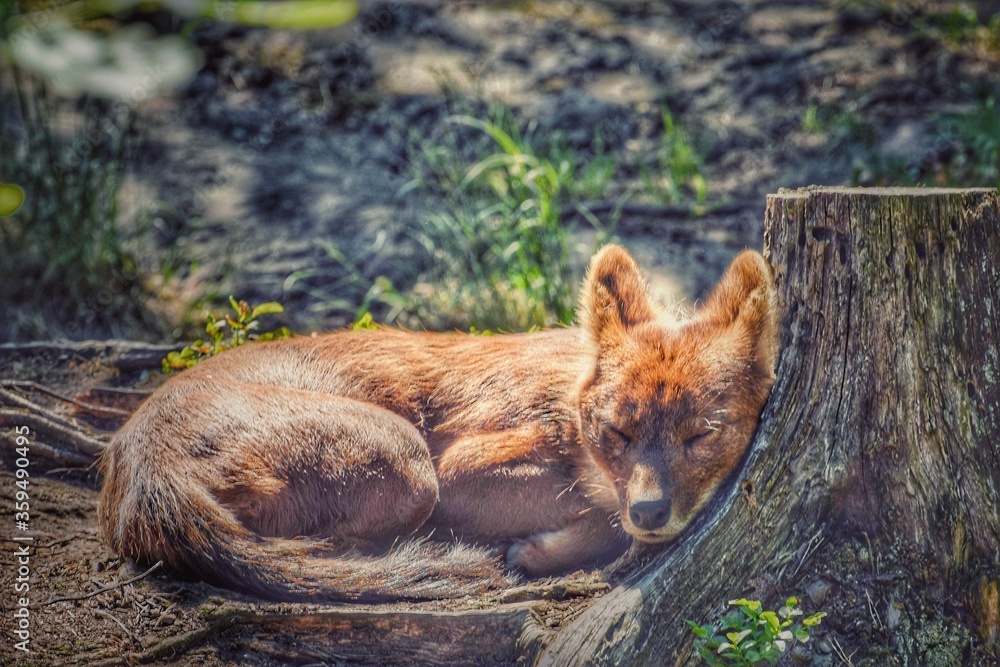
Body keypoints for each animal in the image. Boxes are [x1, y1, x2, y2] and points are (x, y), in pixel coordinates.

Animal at [98, 244, 778, 603]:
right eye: (617, 432)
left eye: (700, 435)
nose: (651, 510)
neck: (563, 401)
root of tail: (144, 460)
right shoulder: (457, 468)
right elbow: (595, 509)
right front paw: (543, 546)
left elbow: (602, 512)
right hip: (407, 459)